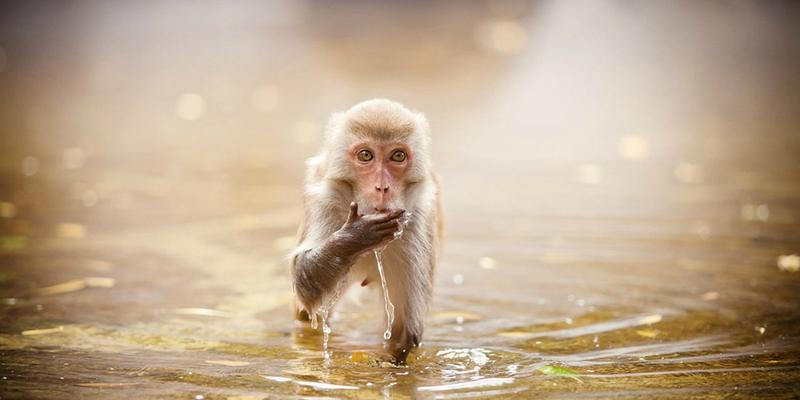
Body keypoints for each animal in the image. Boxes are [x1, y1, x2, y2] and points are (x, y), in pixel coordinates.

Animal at [290, 98, 444, 364]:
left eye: (398, 156)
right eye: (366, 155)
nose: (382, 188)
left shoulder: (419, 219)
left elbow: (404, 332)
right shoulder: (324, 199)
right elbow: (304, 283)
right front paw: (355, 237)